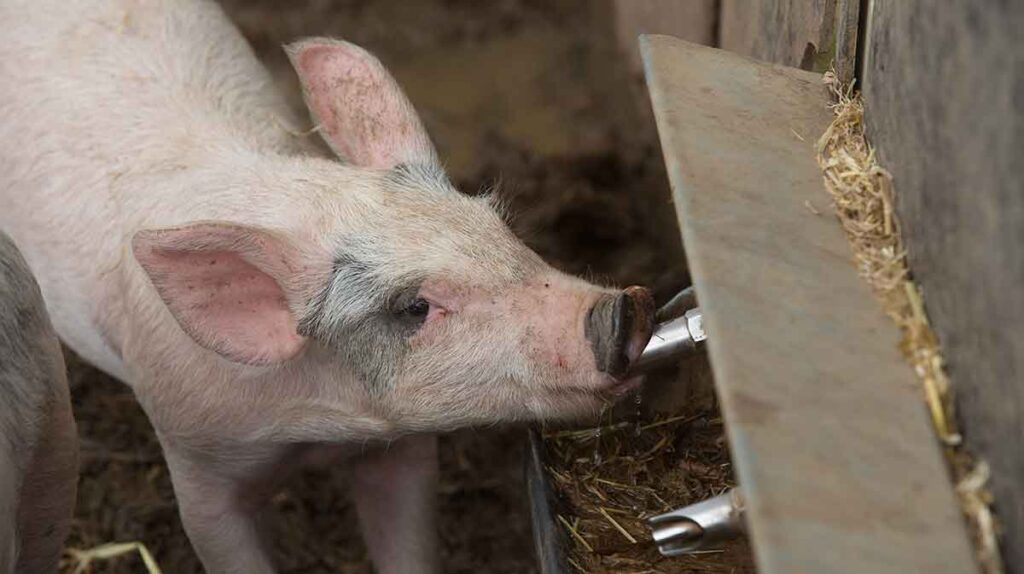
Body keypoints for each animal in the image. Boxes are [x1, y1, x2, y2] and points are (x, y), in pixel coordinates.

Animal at [0, 2, 655, 568]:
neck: (313, 428)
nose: (623, 310)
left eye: (497, 223)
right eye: (414, 307)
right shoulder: (193, 456)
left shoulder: (401, 447)